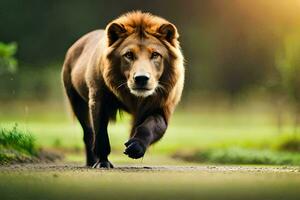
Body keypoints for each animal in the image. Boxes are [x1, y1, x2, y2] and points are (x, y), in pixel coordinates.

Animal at [61, 10, 184, 168]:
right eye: (129, 55)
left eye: (155, 54)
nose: (141, 78)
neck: (133, 97)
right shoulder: (98, 100)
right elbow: (100, 134)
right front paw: (103, 163)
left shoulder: (161, 106)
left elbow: (149, 126)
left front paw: (135, 147)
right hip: (76, 101)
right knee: (88, 133)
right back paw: (91, 162)